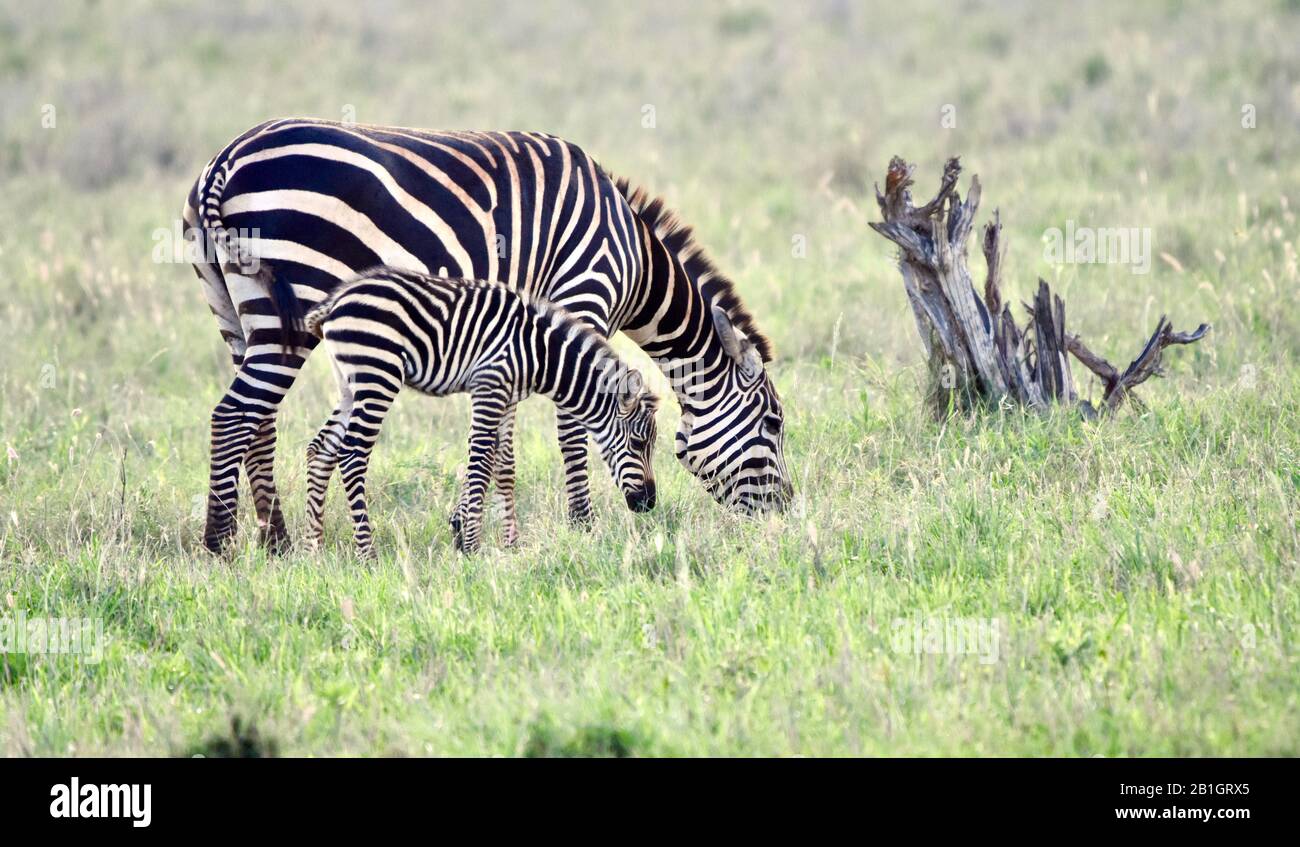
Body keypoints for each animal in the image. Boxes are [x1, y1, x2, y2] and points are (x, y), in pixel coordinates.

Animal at [304, 266, 660, 556]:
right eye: (639, 444)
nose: (649, 503)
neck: (540, 353)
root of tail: (335, 301)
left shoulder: (506, 395)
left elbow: (501, 461)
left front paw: (488, 540)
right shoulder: (489, 385)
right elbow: (481, 458)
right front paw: (472, 547)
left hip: (350, 384)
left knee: (320, 449)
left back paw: (314, 550)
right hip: (378, 375)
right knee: (352, 455)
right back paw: (367, 553)